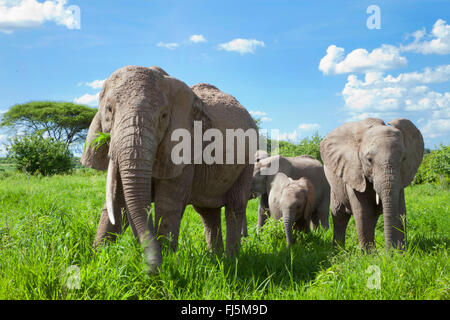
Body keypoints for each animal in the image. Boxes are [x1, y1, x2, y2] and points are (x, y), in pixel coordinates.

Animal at [81, 65, 256, 272]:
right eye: (109, 109)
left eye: (164, 116)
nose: (146, 266)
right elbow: (117, 203)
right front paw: (97, 263)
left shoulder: (184, 146)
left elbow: (168, 204)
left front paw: (165, 270)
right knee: (207, 212)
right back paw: (216, 259)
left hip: (249, 161)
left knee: (235, 205)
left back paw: (230, 263)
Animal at [320, 117, 422, 252]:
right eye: (369, 160)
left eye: (403, 158)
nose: (389, 253)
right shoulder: (354, 172)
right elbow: (363, 213)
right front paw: (370, 255)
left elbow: (400, 210)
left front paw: (400, 253)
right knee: (339, 215)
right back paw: (339, 251)